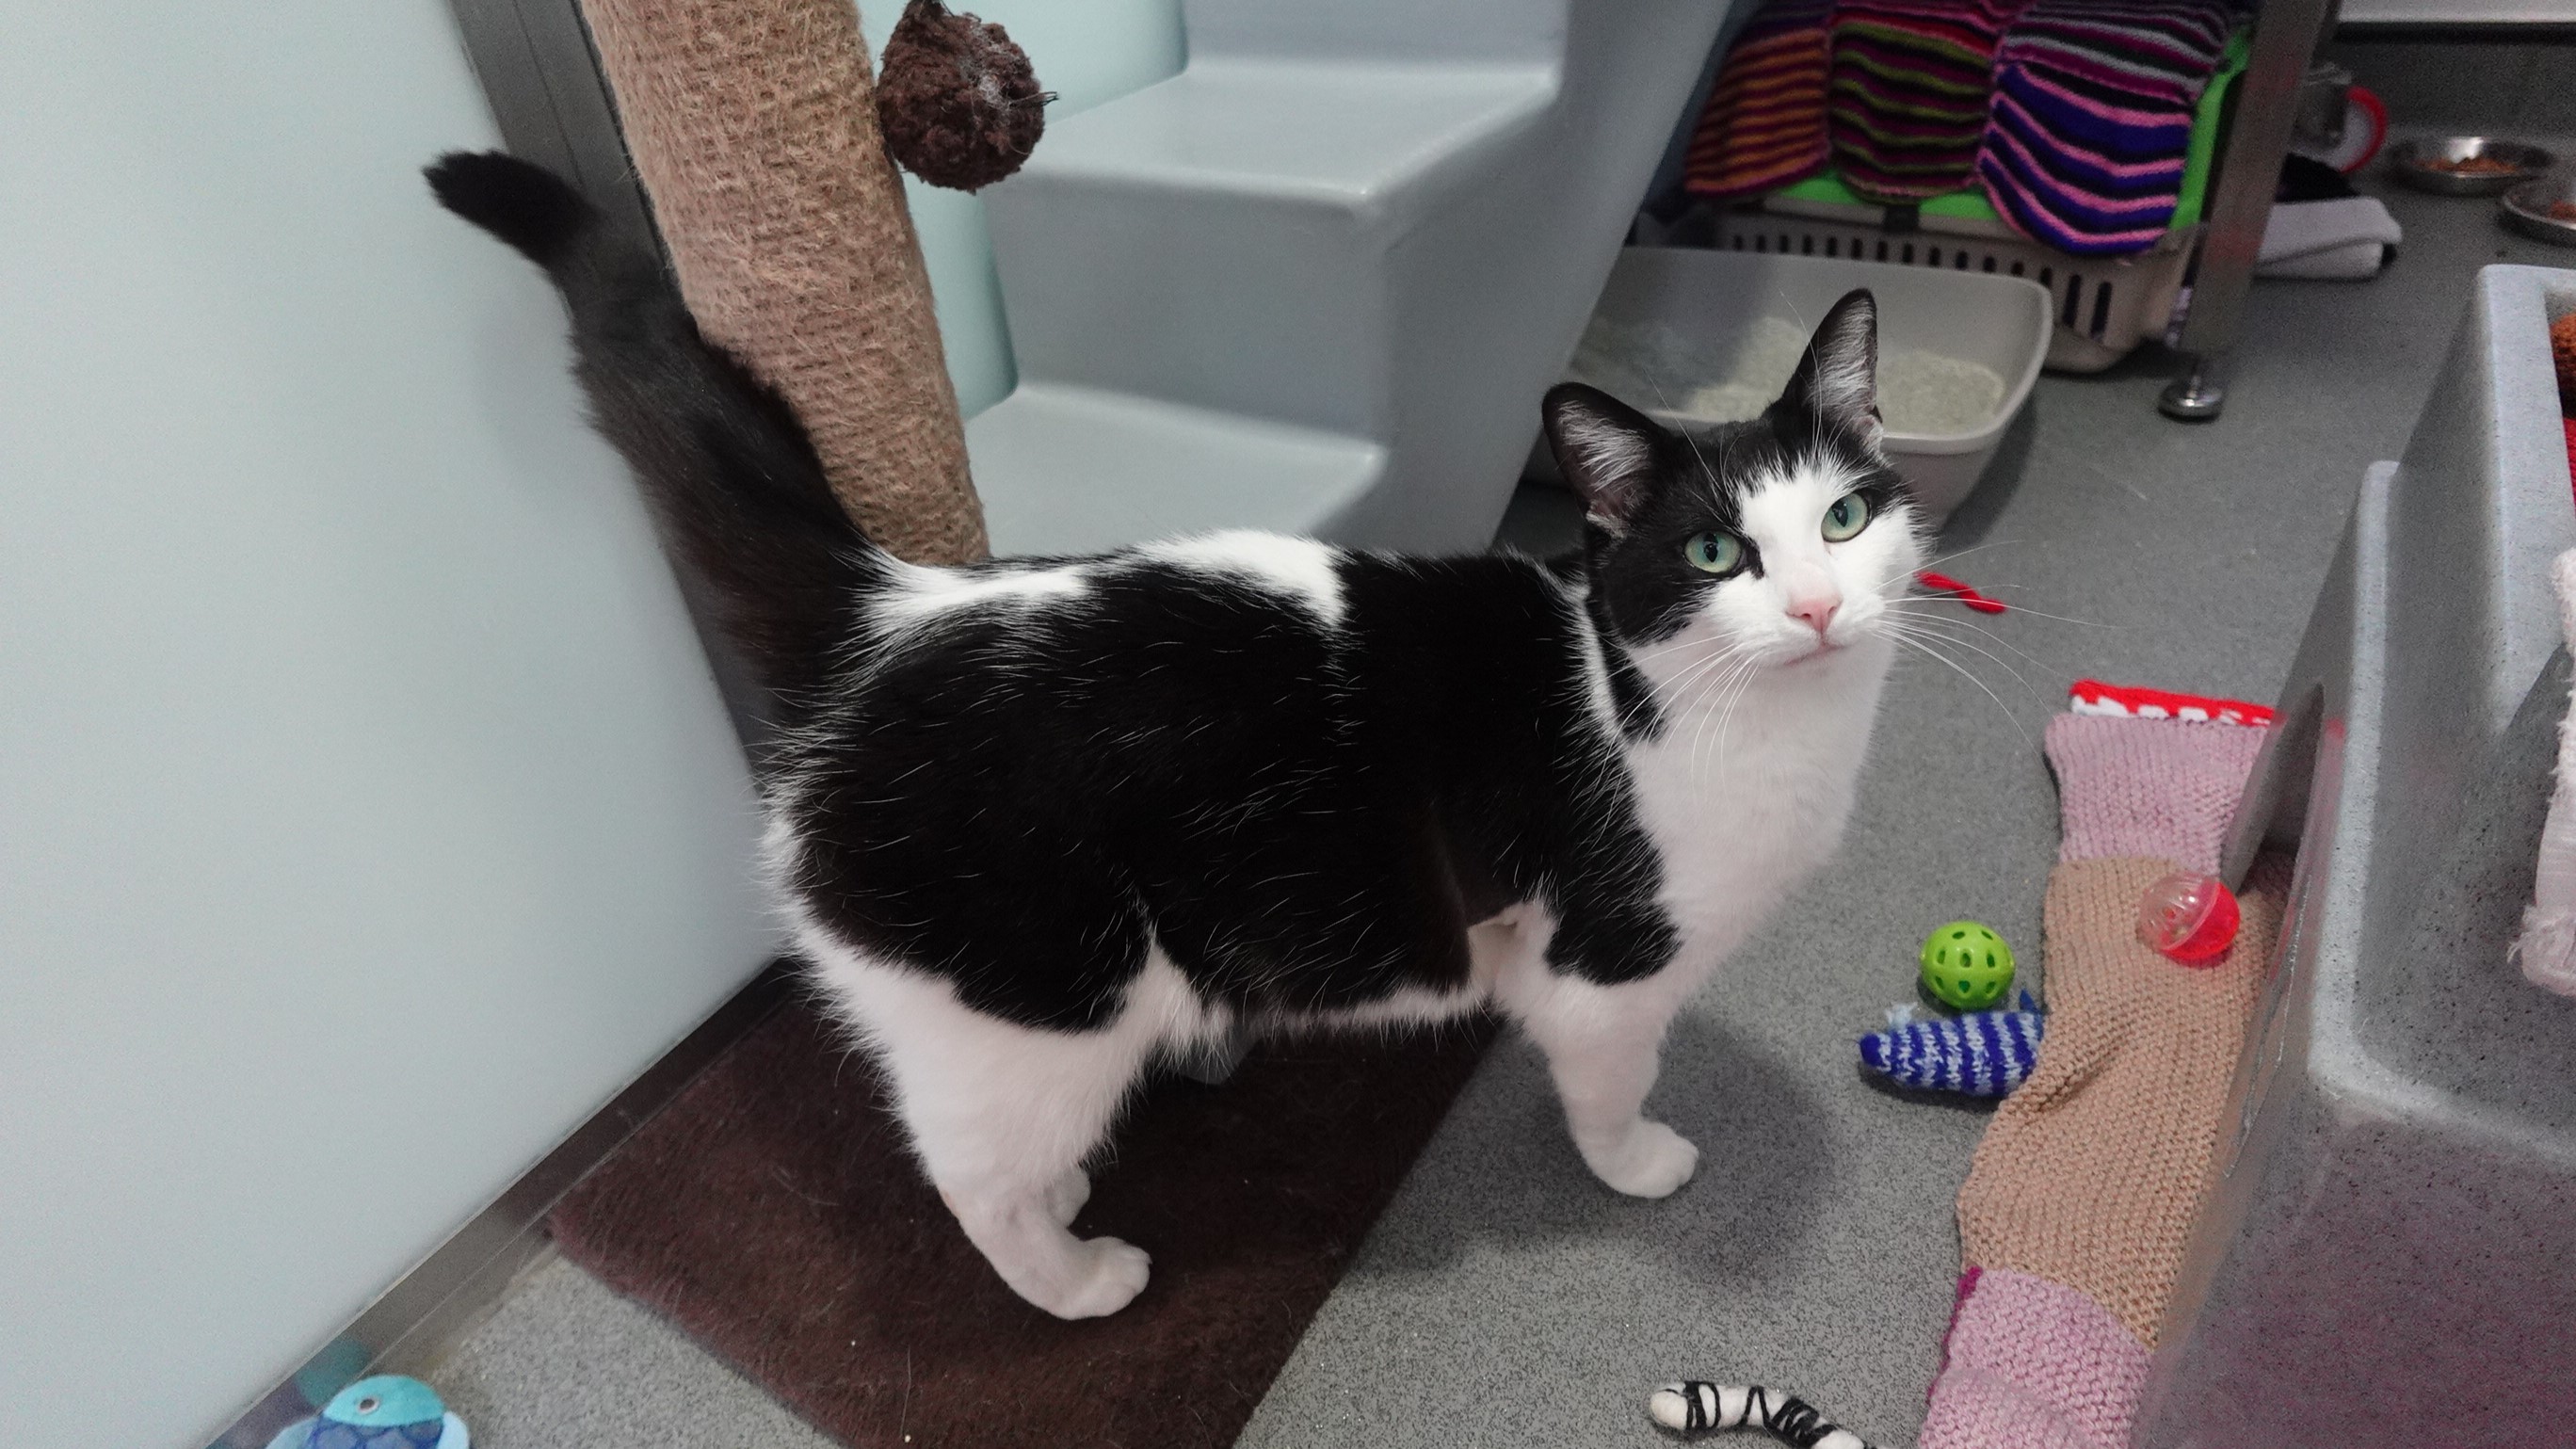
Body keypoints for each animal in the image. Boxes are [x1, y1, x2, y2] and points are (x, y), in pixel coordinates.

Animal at [428, 151, 1927, 1320]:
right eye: (1717, 552)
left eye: (1846, 517)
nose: (1815, 605)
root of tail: (894, 607)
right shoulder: (1607, 969)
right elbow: (1613, 1078)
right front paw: (1640, 1164)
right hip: (1047, 994)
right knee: (963, 1173)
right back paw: (1073, 1273)